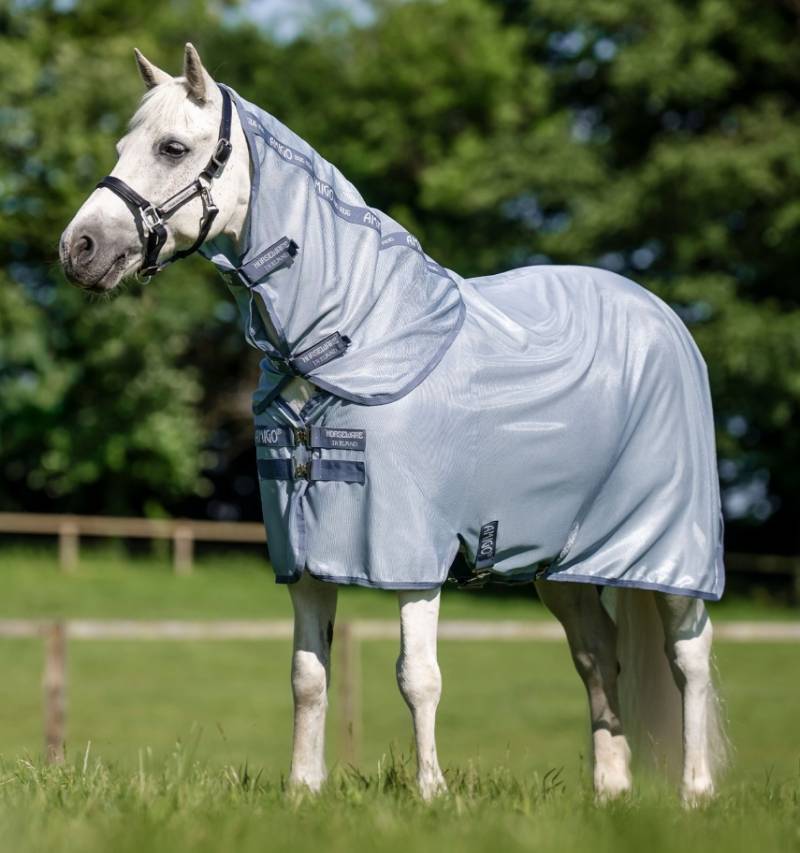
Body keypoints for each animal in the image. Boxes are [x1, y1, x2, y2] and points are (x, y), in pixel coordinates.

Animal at [60, 44, 728, 804]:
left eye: (172, 147)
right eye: (123, 146)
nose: (77, 248)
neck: (356, 335)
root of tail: (661, 316)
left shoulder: (412, 555)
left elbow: (419, 677)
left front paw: (431, 793)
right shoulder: (304, 555)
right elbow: (308, 677)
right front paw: (303, 790)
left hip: (670, 551)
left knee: (689, 657)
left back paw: (696, 793)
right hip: (563, 565)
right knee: (598, 657)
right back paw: (610, 792)